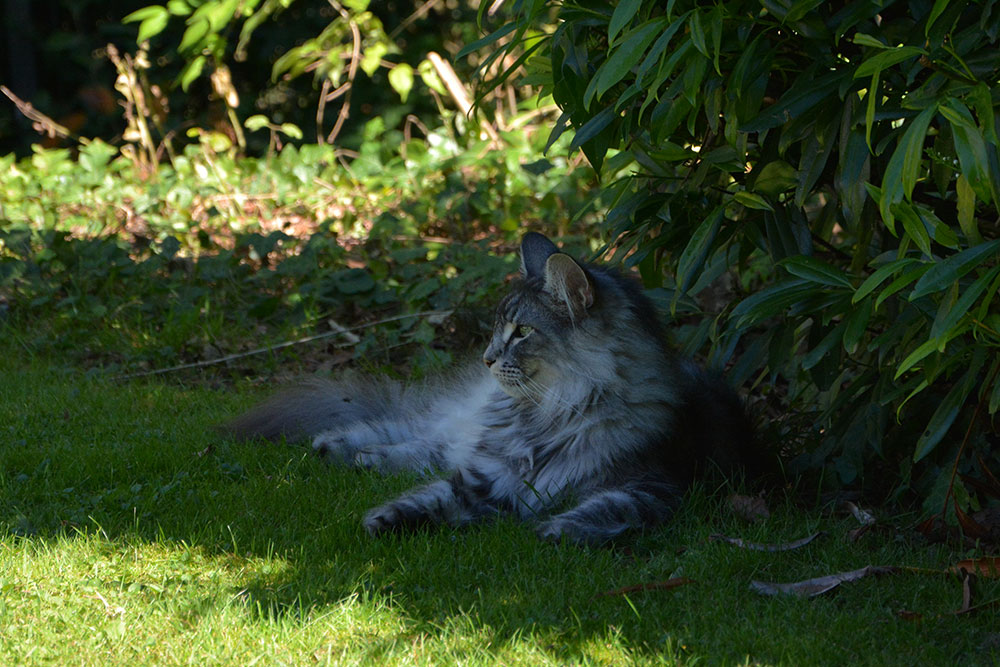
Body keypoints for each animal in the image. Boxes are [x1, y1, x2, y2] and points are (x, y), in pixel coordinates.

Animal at [227, 232, 756, 544]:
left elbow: (604, 508)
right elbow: (430, 496)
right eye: (499, 328)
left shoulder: (653, 486)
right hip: (462, 424)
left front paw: (557, 528)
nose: (486, 359)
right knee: (414, 431)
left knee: (424, 450)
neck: (553, 418)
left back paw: (360, 458)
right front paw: (385, 520)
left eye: (520, 332)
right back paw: (337, 445)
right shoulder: (489, 478)